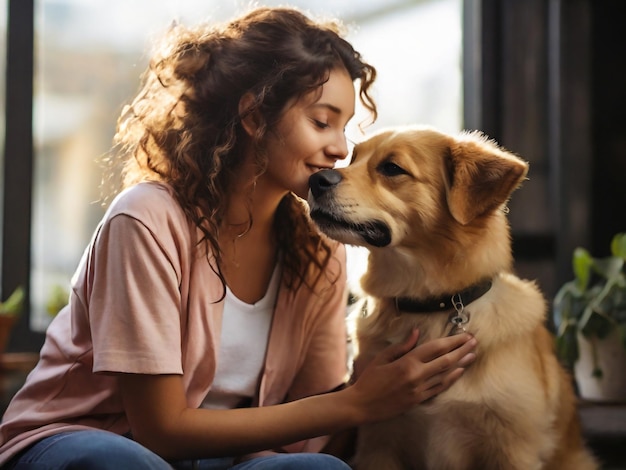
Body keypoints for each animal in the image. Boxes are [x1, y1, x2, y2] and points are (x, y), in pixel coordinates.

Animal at [308, 126, 596, 470]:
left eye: (391, 168)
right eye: (353, 158)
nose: (315, 179)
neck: (428, 307)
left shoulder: (512, 450)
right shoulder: (378, 445)